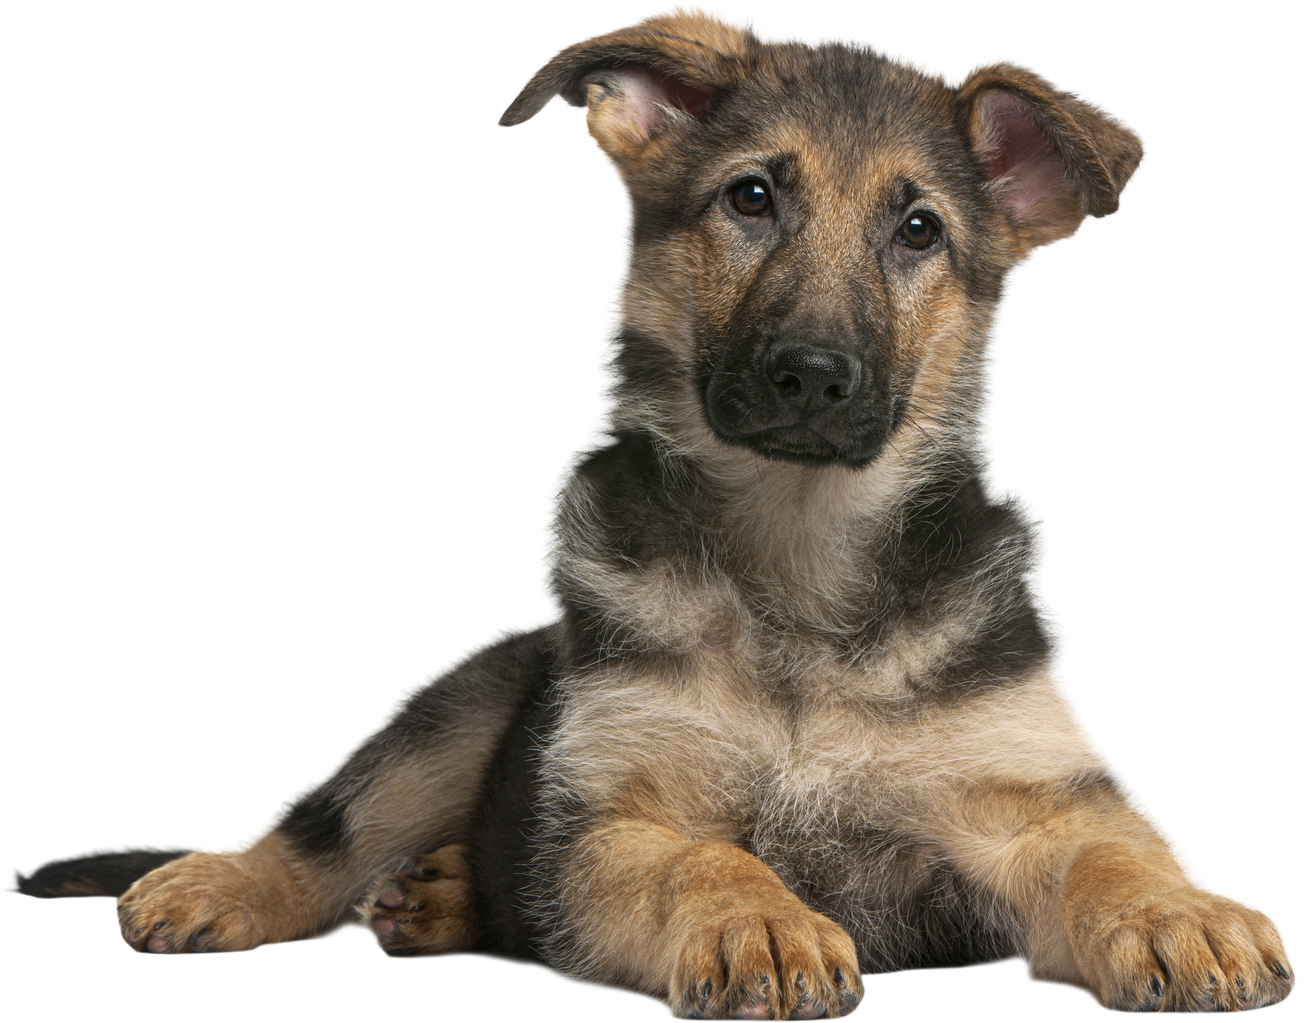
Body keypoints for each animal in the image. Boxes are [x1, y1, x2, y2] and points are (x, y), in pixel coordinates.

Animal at [114, 4, 1295, 1019]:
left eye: (919, 229)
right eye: (751, 199)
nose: (812, 374)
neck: (799, 556)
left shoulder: (1022, 798)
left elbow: (1108, 846)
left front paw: (1180, 908)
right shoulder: (614, 817)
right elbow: (699, 855)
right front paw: (758, 921)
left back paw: (446, 894)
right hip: (465, 701)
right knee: (329, 824)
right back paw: (223, 883)